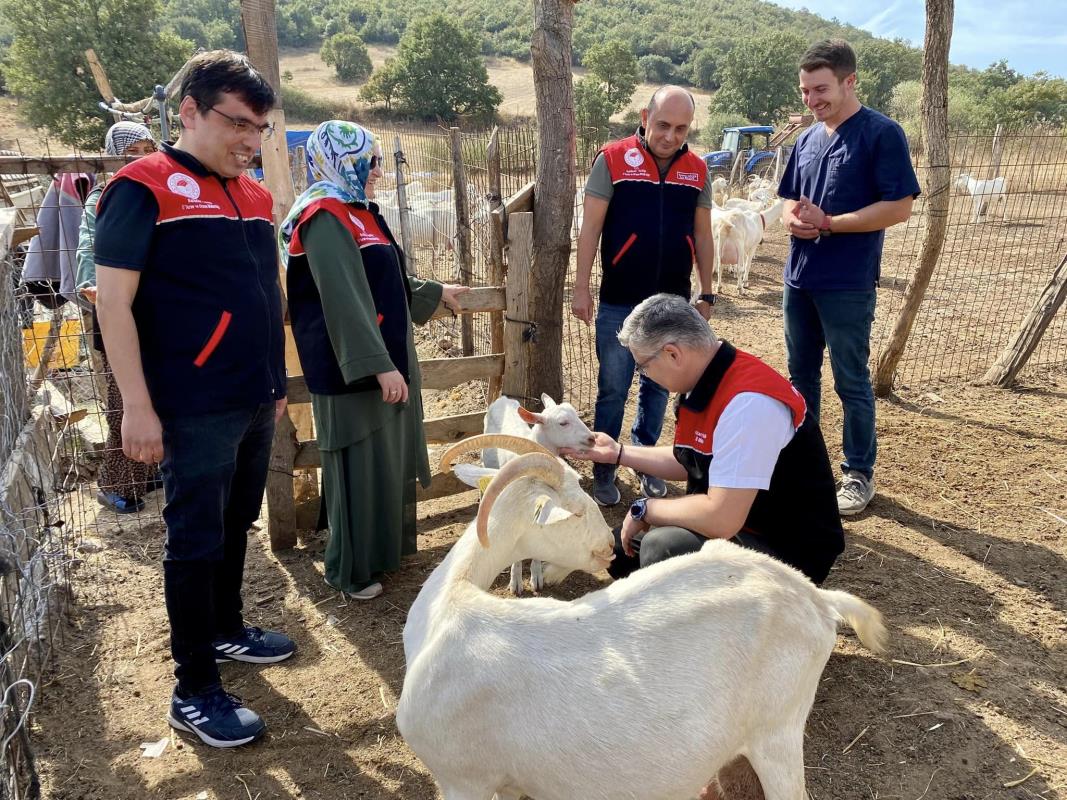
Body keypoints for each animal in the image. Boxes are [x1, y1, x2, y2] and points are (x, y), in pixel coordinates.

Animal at [396, 448, 887, 800]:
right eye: (576, 511)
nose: (607, 546)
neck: (447, 608)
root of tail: (814, 596)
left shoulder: (464, 780)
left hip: (778, 732)